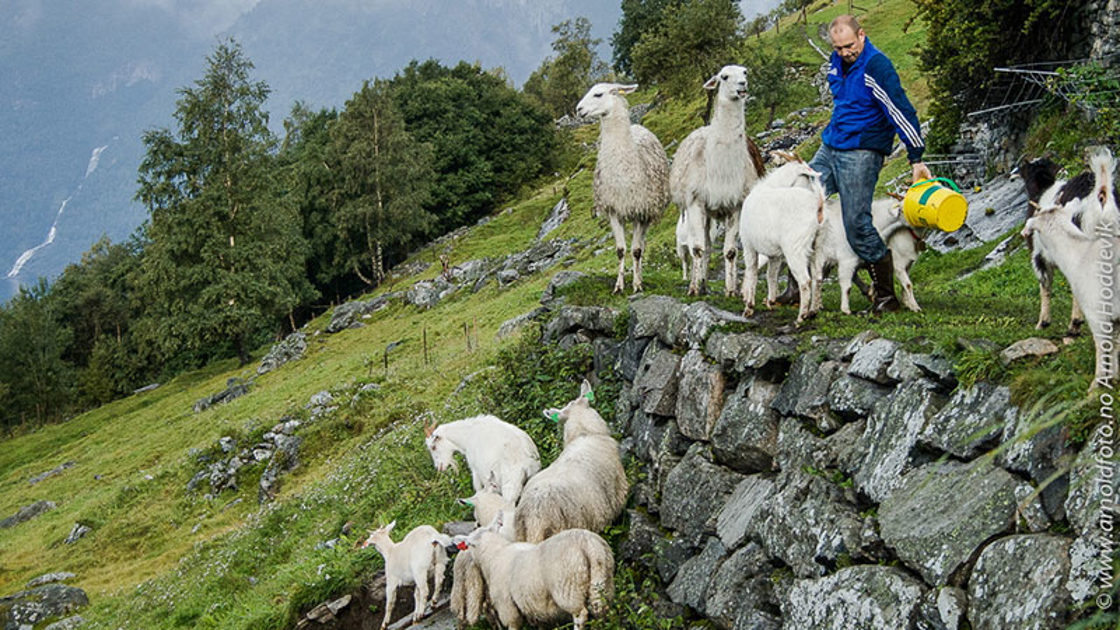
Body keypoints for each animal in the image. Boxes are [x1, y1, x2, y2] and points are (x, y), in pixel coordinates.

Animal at [461, 514, 615, 630]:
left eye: (468, 545)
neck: (494, 555)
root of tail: (590, 545)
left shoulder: (508, 607)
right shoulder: (533, 608)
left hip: (569, 588)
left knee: (580, 615)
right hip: (602, 581)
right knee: (601, 610)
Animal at [576, 83, 670, 293]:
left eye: (598, 94)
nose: (578, 110)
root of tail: (637, 126)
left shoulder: (640, 211)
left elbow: (636, 250)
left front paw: (636, 285)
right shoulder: (614, 210)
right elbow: (620, 250)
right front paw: (619, 286)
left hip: (648, 213)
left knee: (642, 245)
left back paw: (640, 277)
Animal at [670, 65, 765, 296]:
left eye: (745, 72)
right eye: (724, 76)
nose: (742, 85)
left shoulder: (736, 204)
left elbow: (730, 251)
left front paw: (730, 290)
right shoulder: (696, 202)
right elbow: (697, 249)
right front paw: (694, 289)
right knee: (702, 246)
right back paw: (700, 283)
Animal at [738, 160, 827, 324]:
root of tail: (817, 206)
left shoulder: (748, 246)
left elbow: (752, 272)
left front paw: (749, 307)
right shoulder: (775, 254)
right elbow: (771, 275)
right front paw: (771, 301)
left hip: (795, 249)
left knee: (805, 281)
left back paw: (801, 317)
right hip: (818, 247)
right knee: (817, 278)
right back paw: (813, 311)